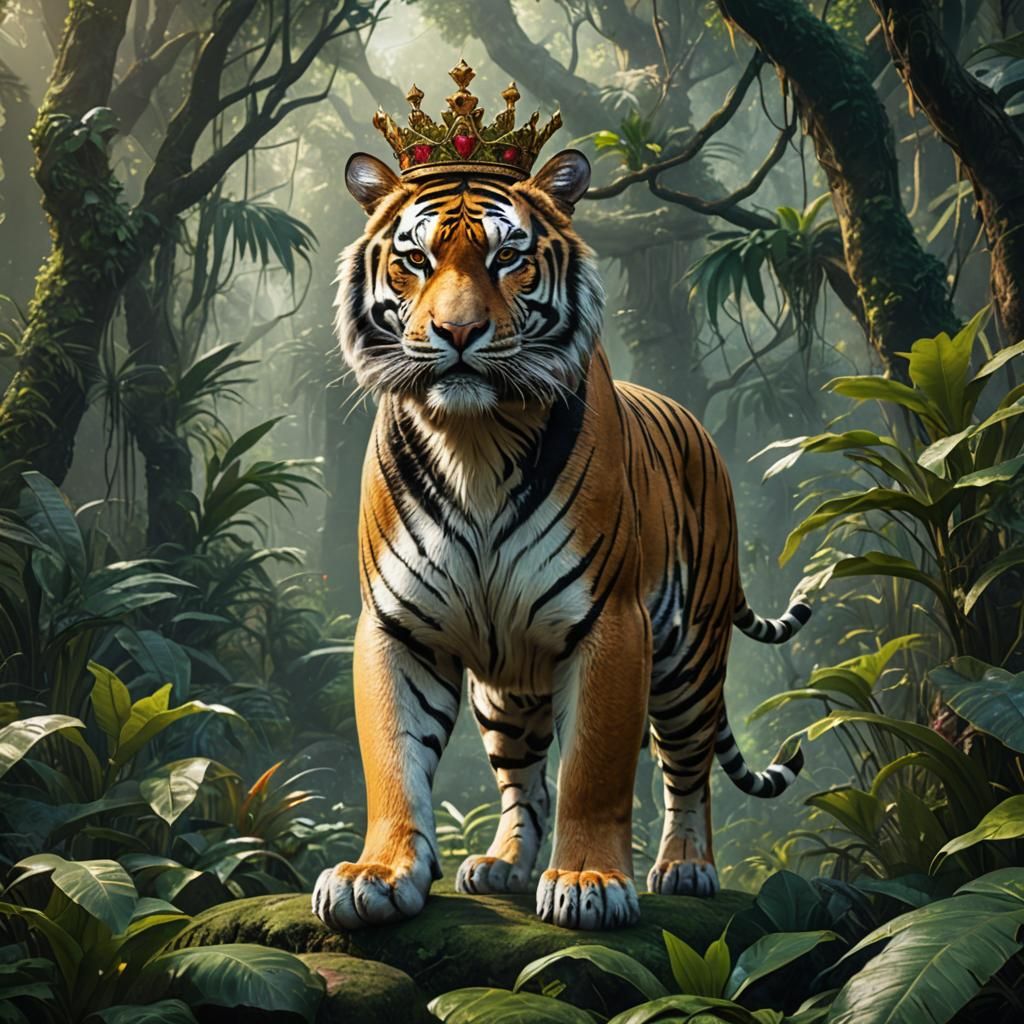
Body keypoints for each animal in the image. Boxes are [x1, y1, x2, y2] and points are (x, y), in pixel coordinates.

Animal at [312, 147, 810, 932]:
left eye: (508, 257)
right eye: (416, 259)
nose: (458, 334)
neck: (475, 441)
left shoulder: (612, 623)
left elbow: (594, 770)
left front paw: (588, 883)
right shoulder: (396, 626)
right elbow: (395, 757)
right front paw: (378, 874)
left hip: (689, 663)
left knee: (689, 769)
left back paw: (687, 868)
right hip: (505, 691)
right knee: (524, 782)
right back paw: (504, 864)